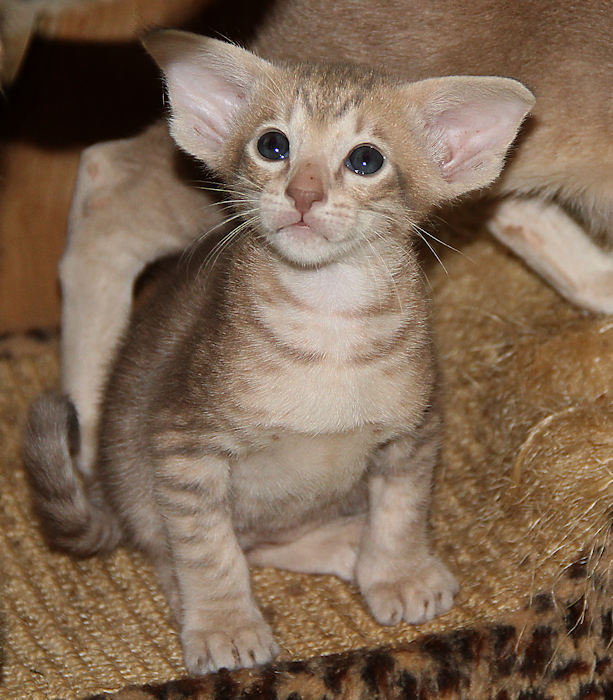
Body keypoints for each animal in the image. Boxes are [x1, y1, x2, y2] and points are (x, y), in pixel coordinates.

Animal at [24, 32, 533, 674]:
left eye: (365, 160)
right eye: (273, 146)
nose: (303, 193)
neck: (330, 325)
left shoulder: (416, 426)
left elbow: (403, 507)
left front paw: (399, 573)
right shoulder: (182, 441)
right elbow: (207, 548)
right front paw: (224, 623)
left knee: (269, 540)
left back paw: (347, 541)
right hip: (138, 479)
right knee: (191, 547)